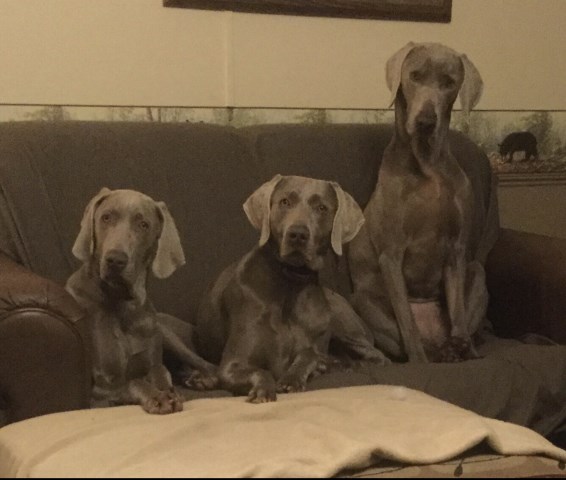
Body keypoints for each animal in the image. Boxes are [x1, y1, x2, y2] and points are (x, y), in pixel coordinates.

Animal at [196, 174, 390, 404]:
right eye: (285, 202)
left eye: (322, 208)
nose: (298, 234)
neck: (290, 284)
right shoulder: (231, 364)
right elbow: (261, 371)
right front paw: (264, 390)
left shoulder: (314, 341)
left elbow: (309, 354)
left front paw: (294, 377)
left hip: (344, 327)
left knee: (376, 357)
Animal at [350, 43, 488, 364]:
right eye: (414, 76)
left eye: (449, 83)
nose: (426, 122)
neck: (428, 167)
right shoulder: (391, 254)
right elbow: (408, 324)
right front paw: (419, 363)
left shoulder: (457, 248)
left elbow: (458, 311)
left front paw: (462, 343)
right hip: (363, 298)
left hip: (477, 270)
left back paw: (463, 351)